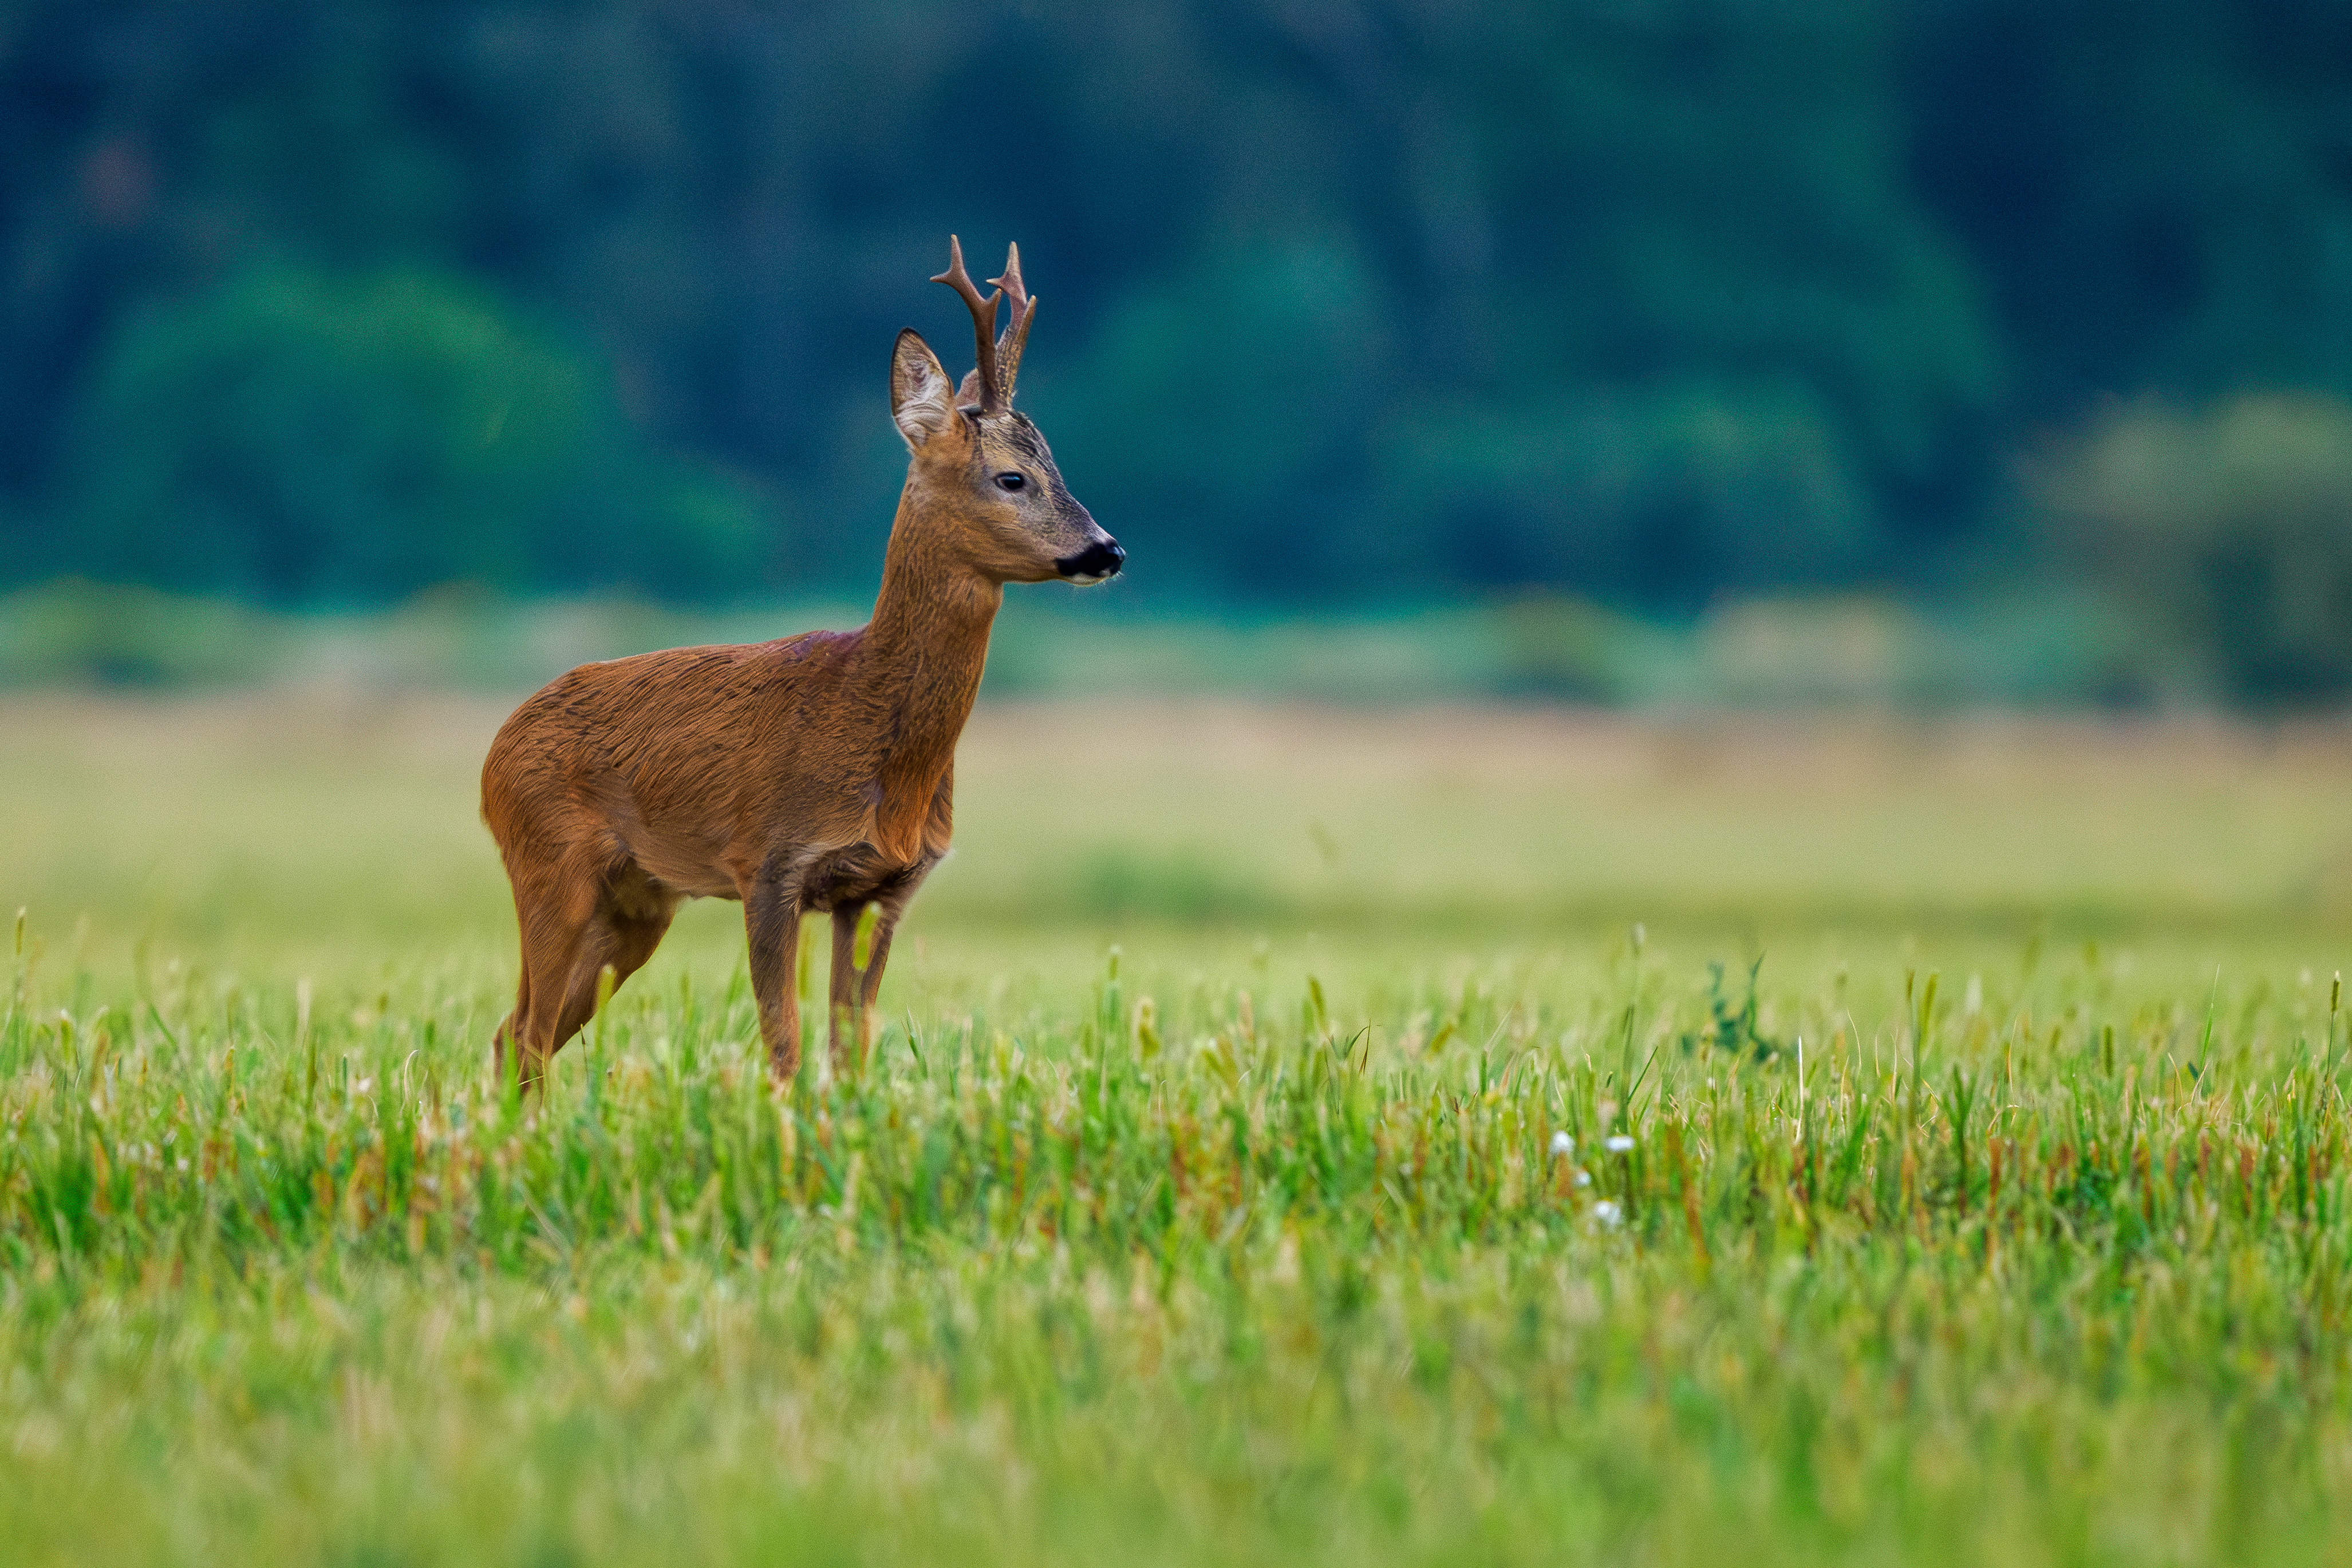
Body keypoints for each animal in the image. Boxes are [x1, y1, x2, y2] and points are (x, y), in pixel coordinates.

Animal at [477, 236, 1119, 1091]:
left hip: (638, 902)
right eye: (1011, 477)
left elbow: (852, 1044)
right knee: (527, 1032)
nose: (1107, 550)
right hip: (550, 863)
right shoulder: (769, 862)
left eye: (1061, 470)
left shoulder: (883, 887)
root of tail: (495, 750)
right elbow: (782, 1043)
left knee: (517, 1033)